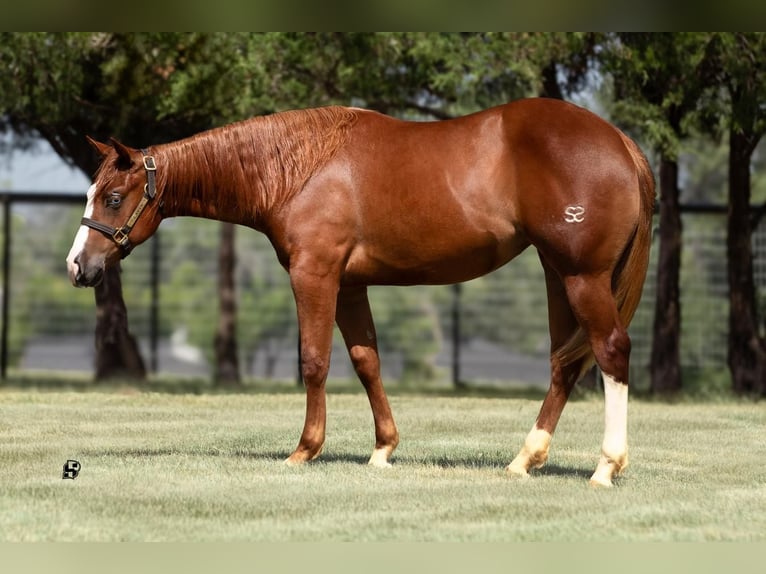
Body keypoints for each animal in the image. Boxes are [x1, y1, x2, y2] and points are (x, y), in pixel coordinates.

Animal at [66, 98, 656, 486]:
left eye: (114, 197)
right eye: (91, 192)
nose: (78, 265)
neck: (299, 168)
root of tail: (620, 142)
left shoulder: (315, 276)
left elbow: (314, 361)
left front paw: (304, 450)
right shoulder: (351, 285)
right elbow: (365, 359)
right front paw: (383, 450)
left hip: (582, 277)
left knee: (611, 351)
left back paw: (606, 467)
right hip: (558, 275)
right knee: (565, 363)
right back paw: (524, 460)